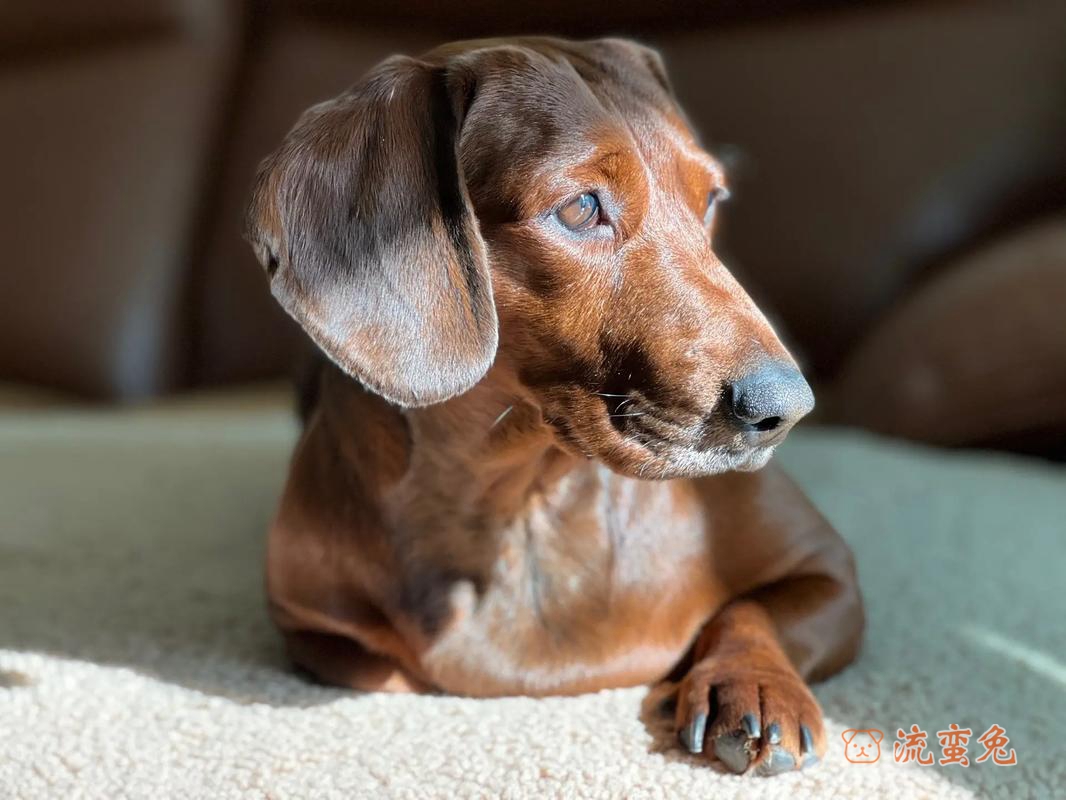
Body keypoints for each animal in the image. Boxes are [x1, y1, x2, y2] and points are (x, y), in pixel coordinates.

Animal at [245, 36, 861, 776]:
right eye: (579, 208)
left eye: (711, 197)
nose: (785, 409)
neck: (522, 495)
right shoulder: (309, 626)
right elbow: (387, 667)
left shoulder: (830, 571)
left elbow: (749, 612)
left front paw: (752, 684)